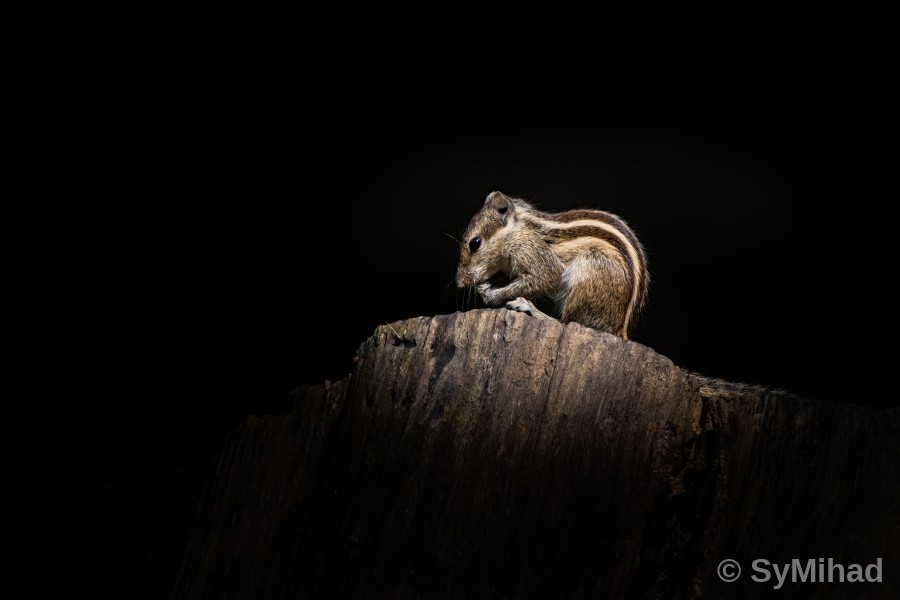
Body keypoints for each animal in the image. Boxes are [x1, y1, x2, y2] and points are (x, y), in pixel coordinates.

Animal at [455, 191, 649, 339]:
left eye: (475, 243)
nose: (459, 282)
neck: (518, 230)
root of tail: (619, 329)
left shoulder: (533, 254)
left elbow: (546, 278)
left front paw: (491, 294)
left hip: (589, 271)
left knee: (567, 322)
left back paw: (531, 309)